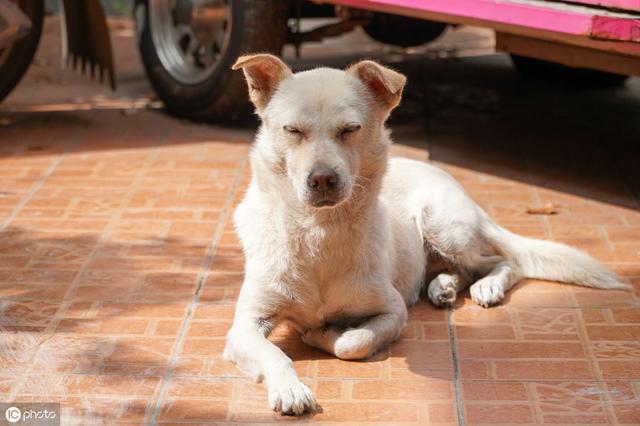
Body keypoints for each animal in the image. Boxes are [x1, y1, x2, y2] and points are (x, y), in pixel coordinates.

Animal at [222, 54, 628, 416]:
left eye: (350, 129)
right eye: (292, 131)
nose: (322, 179)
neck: (318, 233)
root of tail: (448, 179)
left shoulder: (393, 310)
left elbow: (353, 343)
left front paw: (322, 334)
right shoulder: (244, 326)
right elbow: (275, 354)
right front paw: (290, 389)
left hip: (445, 225)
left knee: (502, 260)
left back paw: (486, 287)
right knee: (460, 269)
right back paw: (443, 287)